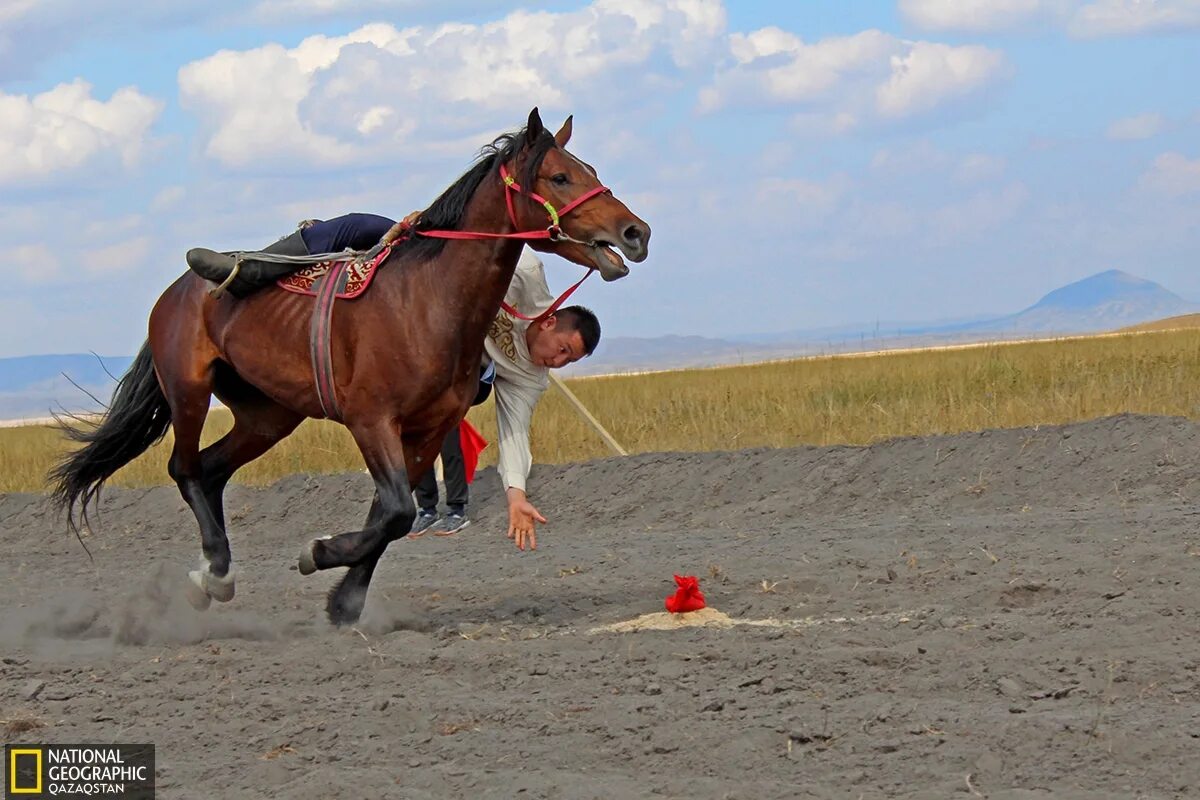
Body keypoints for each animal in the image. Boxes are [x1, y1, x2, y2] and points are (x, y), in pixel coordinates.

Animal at [46, 107, 652, 623]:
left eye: (590, 170)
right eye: (560, 176)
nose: (636, 232)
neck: (428, 302)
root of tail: (177, 292)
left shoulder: (425, 430)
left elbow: (391, 516)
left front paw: (344, 598)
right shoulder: (371, 419)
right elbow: (396, 511)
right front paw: (319, 555)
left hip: (268, 414)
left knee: (213, 469)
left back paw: (213, 575)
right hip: (189, 390)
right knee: (186, 468)